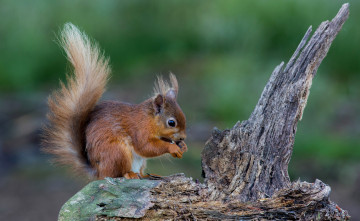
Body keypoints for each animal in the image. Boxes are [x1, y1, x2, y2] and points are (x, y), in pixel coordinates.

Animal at [41, 23, 188, 180]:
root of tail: (98, 171)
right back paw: (130, 174)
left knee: (139, 172)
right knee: (117, 174)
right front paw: (172, 147)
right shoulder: (139, 131)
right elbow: (146, 147)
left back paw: (148, 175)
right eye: (171, 122)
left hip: (137, 161)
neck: (149, 119)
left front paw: (183, 146)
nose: (183, 137)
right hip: (118, 153)